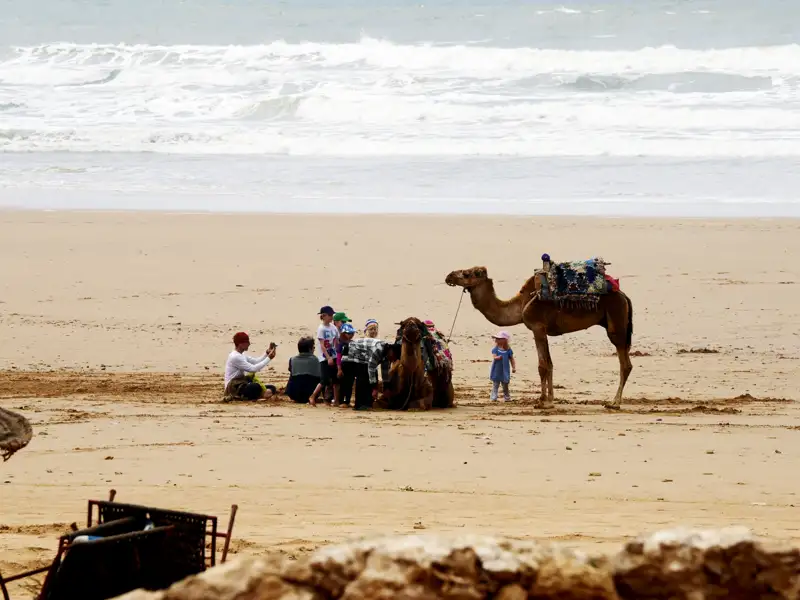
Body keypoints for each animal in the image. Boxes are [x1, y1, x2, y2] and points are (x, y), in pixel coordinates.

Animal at [444, 266, 633, 409]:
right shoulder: (542, 330)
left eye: (467, 273)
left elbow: (542, 365)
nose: (449, 275)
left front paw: (543, 402)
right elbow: (549, 364)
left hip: (616, 322)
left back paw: (615, 403)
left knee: (625, 364)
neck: (520, 305)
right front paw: (549, 400)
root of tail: (624, 296)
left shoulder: (537, 327)